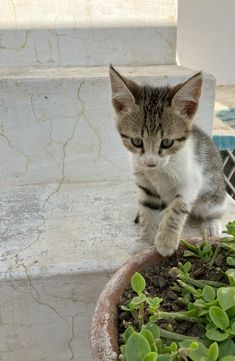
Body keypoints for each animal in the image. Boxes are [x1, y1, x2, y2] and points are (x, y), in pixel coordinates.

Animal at [109, 64, 227, 256]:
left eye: (166, 142)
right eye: (136, 141)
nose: (150, 162)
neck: (159, 170)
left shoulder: (191, 182)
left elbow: (177, 208)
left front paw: (166, 241)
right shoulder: (146, 184)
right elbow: (147, 210)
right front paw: (145, 241)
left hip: (211, 197)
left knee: (219, 209)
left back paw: (211, 224)